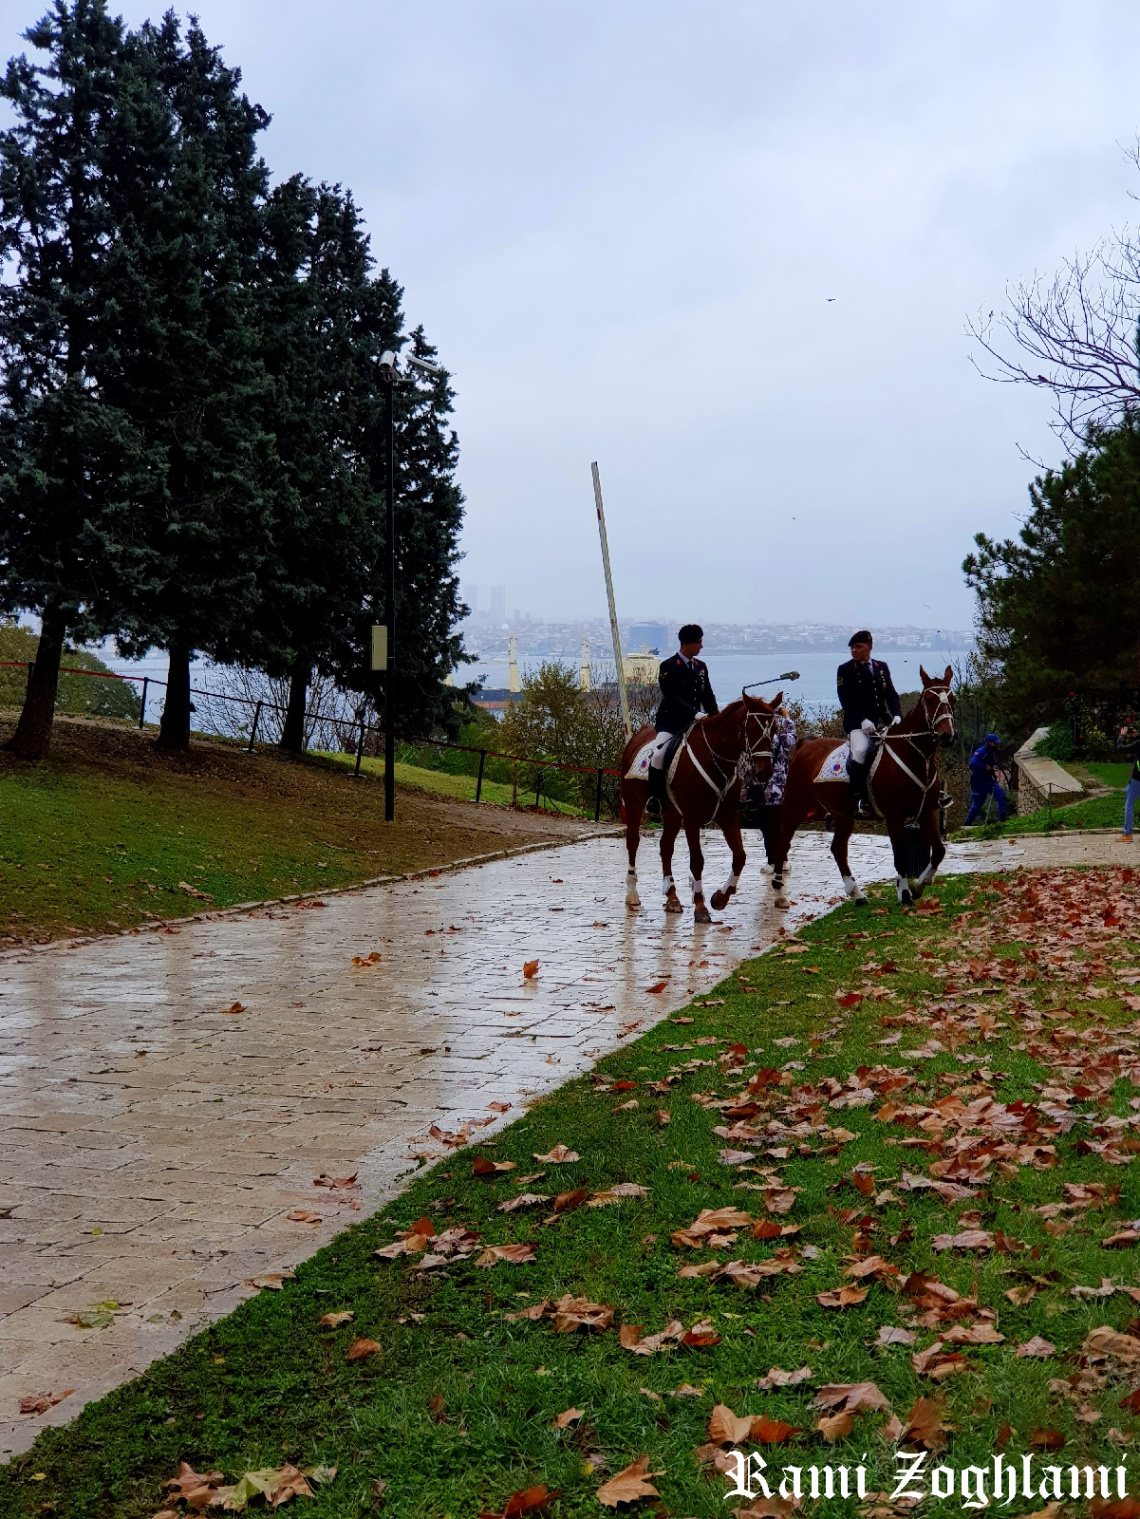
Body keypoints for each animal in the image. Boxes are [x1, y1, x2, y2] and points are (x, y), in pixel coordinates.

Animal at [626, 692, 784, 923]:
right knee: (633, 843)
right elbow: (697, 861)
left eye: (773, 730)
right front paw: (700, 906)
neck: (714, 757)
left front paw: (720, 898)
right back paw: (632, 893)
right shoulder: (692, 818)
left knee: (666, 847)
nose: (764, 773)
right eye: (753, 728)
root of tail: (638, 735)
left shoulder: (728, 816)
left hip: (672, 814)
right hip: (633, 805)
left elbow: (740, 856)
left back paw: (672, 897)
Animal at [769, 662, 954, 899]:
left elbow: (939, 851)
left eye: (953, 700)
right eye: (929, 700)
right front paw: (904, 894)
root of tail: (806, 746)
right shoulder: (894, 815)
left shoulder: (926, 811)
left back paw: (856, 894)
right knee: (784, 840)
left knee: (837, 848)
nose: (946, 735)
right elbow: (900, 856)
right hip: (796, 807)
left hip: (841, 814)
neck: (915, 755)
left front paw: (917, 886)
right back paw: (777, 882)